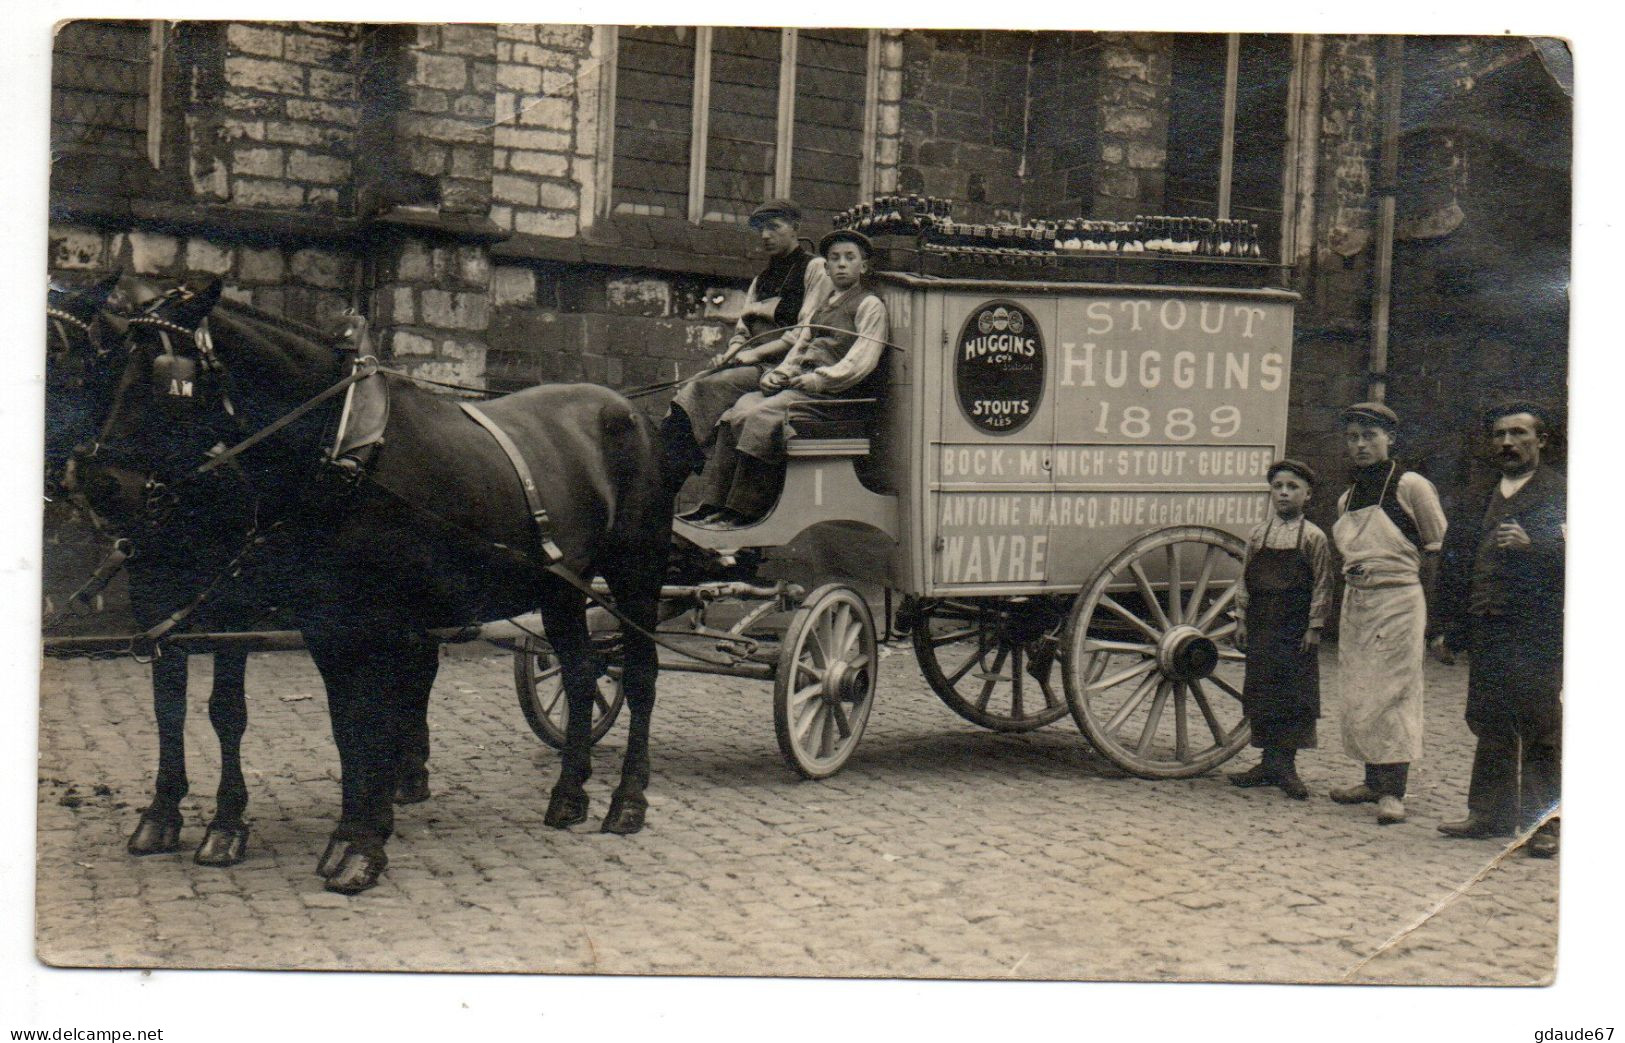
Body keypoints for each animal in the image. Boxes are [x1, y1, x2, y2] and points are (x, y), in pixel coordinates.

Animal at [73, 277, 669, 896]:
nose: (102, 486)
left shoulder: (381, 624)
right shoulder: (327, 623)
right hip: (562, 590)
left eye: (167, 382)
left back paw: (627, 801)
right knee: (580, 674)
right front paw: (347, 835)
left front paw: (363, 844)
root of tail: (628, 408)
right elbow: (347, 727)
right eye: (111, 371)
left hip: (637, 574)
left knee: (640, 676)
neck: (345, 449)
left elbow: (375, 720)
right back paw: (569, 795)